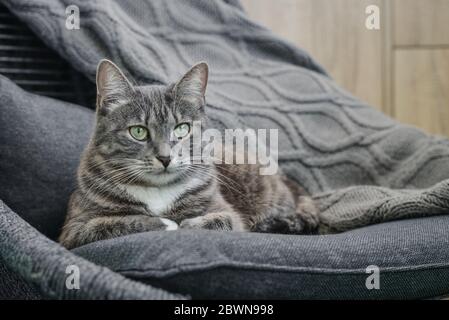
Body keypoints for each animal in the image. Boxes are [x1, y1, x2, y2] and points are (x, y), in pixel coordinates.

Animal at [59, 60, 318, 250]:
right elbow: (108, 225)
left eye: (182, 128)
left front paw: (188, 224)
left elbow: (223, 220)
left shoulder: (228, 213)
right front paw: (164, 223)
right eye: (138, 131)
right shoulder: (72, 230)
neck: (157, 192)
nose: (165, 158)